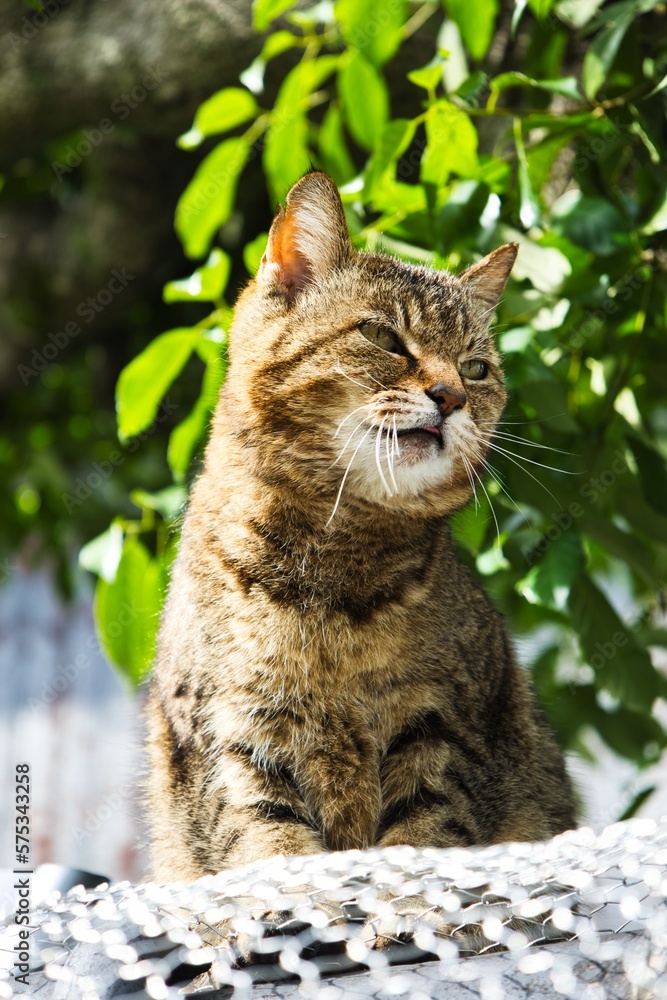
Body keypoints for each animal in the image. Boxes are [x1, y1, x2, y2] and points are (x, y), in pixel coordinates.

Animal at [146, 172, 576, 884]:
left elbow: (423, 842)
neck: (335, 566)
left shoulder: (440, 729)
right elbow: (269, 845)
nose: (452, 396)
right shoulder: (232, 735)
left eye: (476, 368)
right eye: (384, 338)